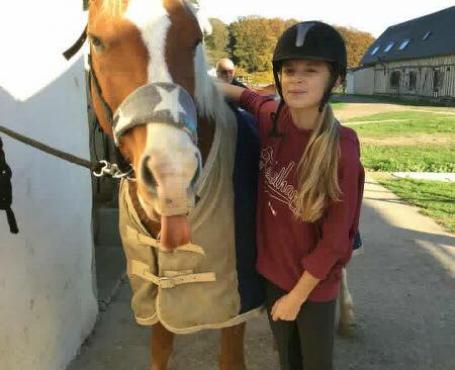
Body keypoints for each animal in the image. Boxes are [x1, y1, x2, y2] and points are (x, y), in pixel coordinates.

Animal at [86, 0, 264, 370]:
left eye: (195, 38)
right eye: (97, 40)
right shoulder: (156, 294)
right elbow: (160, 350)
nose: (173, 176)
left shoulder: (237, 302)